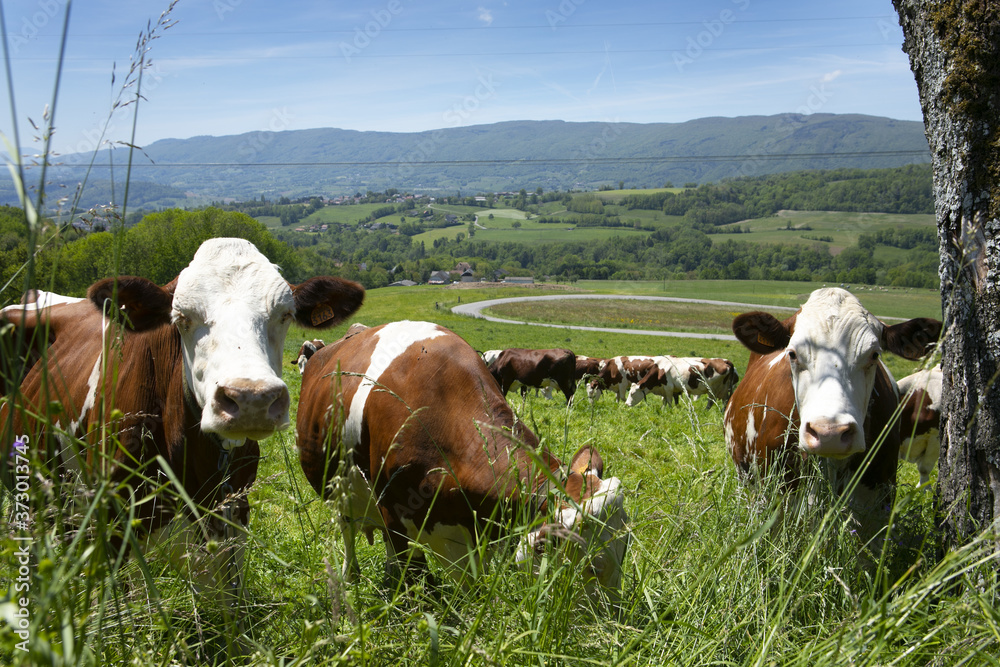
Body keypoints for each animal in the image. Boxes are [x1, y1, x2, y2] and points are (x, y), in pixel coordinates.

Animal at [292, 320, 628, 596]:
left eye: (625, 546)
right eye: (594, 567)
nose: (608, 615)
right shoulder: (395, 518)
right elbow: (415, 581)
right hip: (338, 489)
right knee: (347, 530)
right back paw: (351, 576)